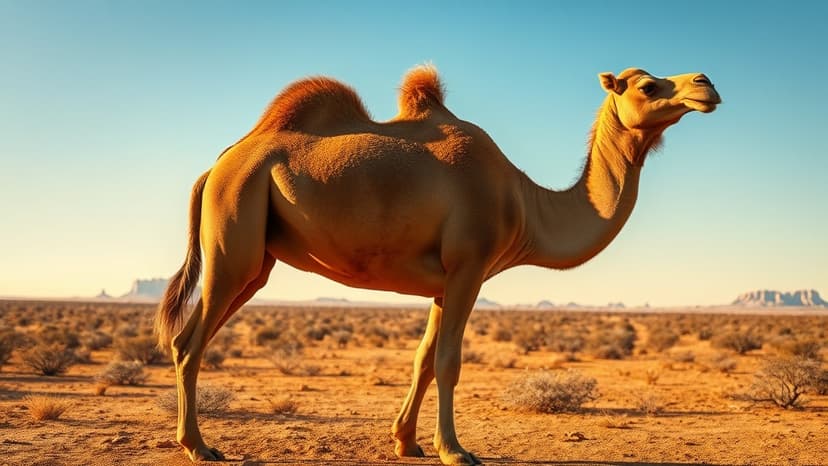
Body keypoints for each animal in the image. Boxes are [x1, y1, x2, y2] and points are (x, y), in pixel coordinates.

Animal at [156, 64, 720, 465]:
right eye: (647, 85)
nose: (706, 84)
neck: (525, 204)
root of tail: (216, 166)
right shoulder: (470, 263)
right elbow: (449, 360)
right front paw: (456, 450)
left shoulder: (444, 283)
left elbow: (423, 358)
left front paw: (406, 441)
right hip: (233, 238)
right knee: (189, 341)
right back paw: (200, 447)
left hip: (257, 263)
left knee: (195, 334)